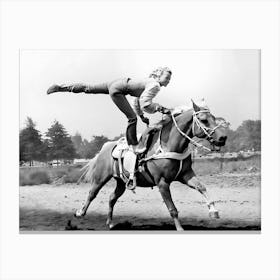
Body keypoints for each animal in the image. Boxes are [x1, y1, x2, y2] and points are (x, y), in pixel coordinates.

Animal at [74, 99, 228, 231]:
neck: (168, 146)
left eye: (214, 118)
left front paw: (214, 211)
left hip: (121, 182)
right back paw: (80, 213)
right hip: (100, 178)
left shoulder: (186, 175)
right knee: (92, 193)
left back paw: (110, 223)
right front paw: (180, 228)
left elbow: (201, 187)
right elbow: (172, 209)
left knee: (112, 198)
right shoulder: (162, 183)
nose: (223, 137)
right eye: (203, 120)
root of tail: (105, 148)